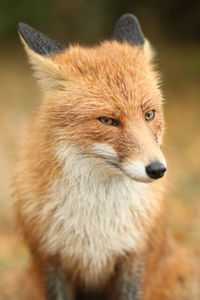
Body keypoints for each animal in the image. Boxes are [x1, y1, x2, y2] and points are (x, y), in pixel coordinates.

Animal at [13, 13, 199, 300]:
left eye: (149, 115)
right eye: (108, 121)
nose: (157, 169)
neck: (97, 224)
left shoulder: (134, 257)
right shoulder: (51, 259)